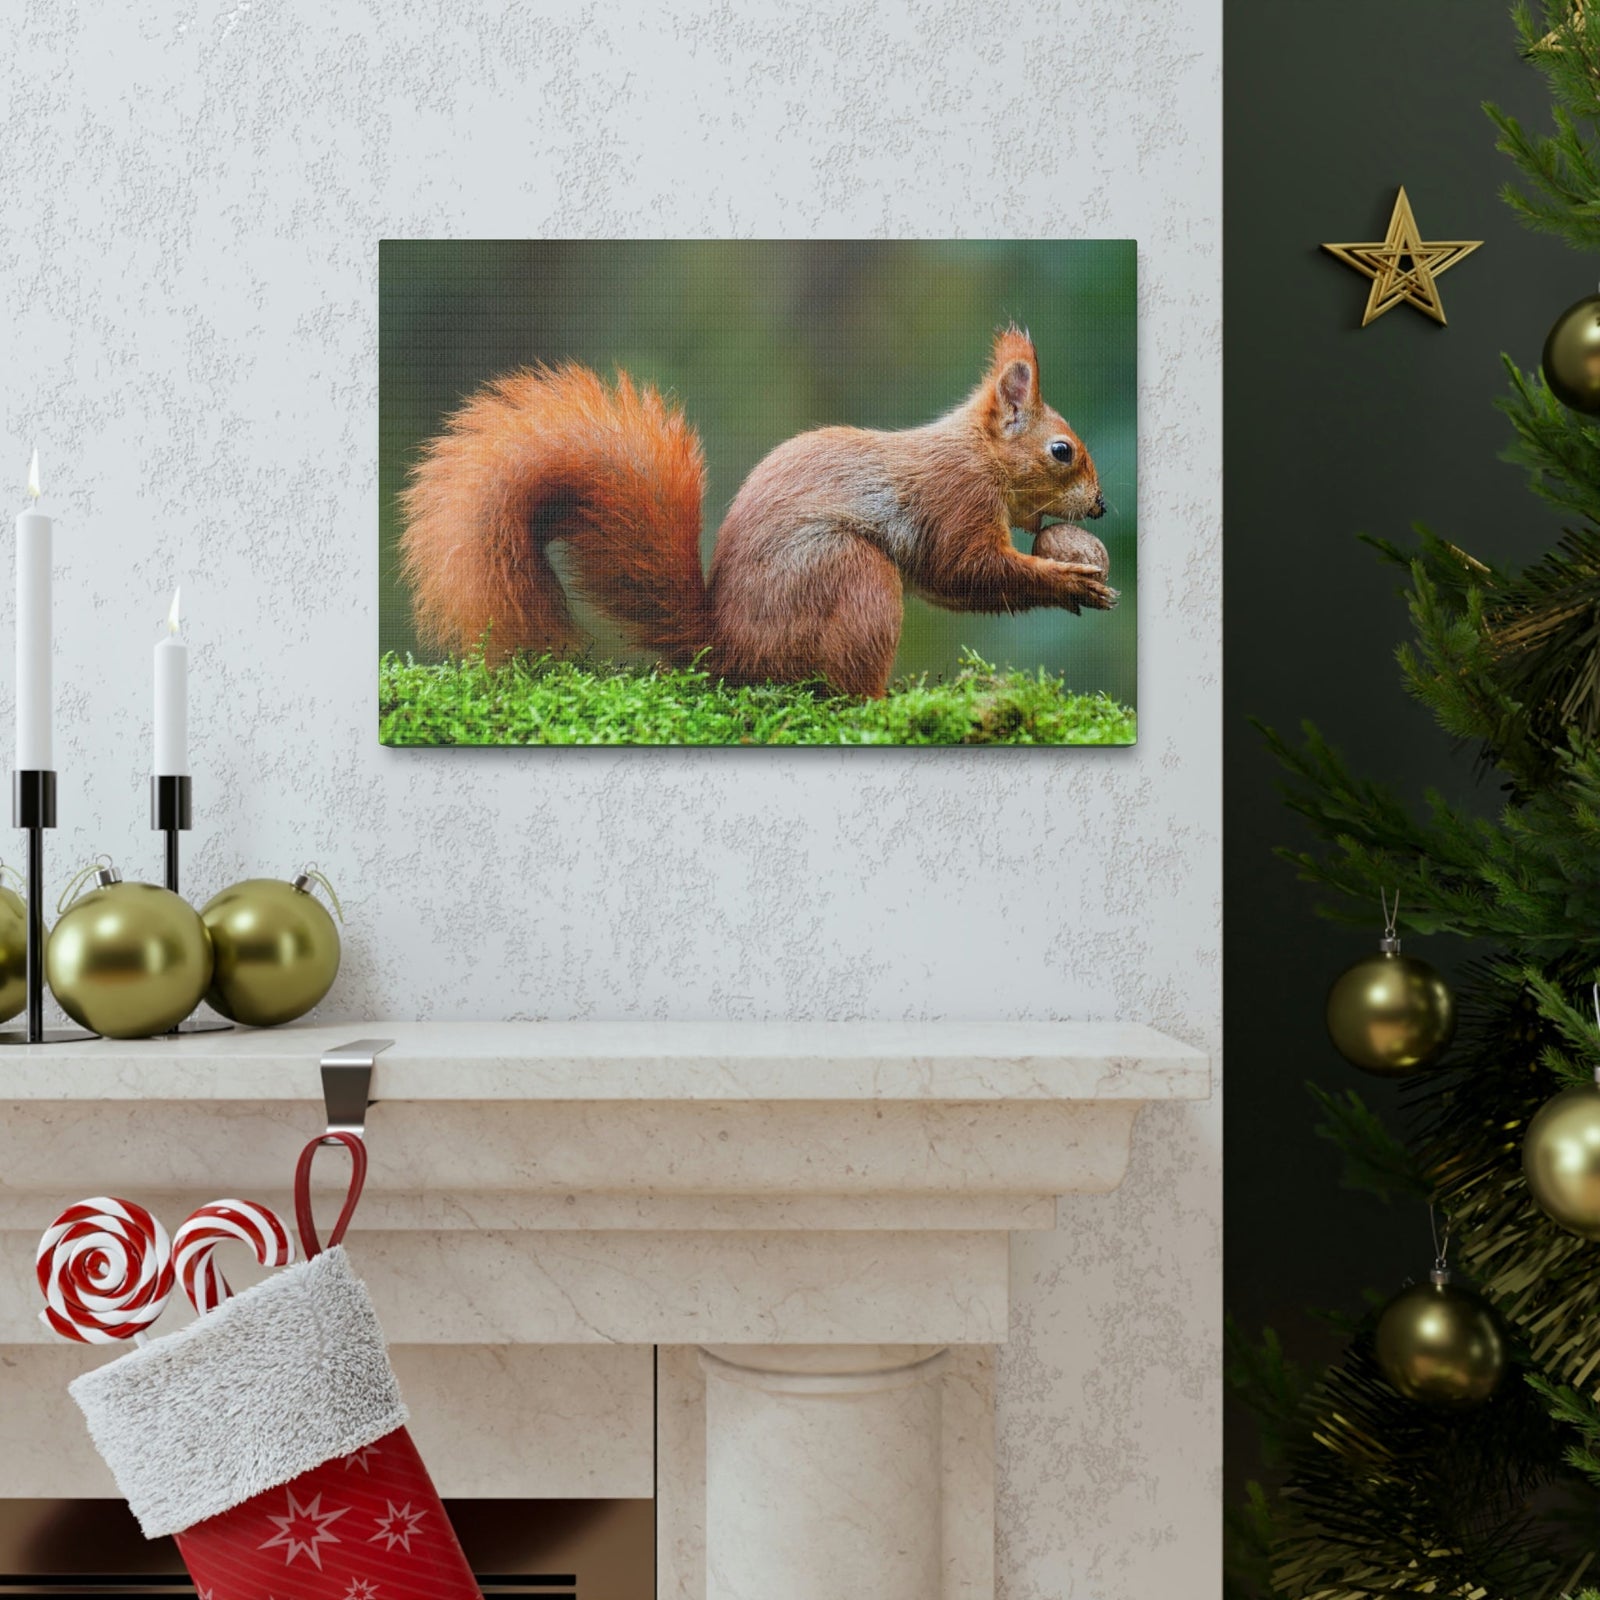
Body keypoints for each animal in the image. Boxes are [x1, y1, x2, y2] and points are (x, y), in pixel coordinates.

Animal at [398, 327, 1117, 699]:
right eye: (1061, 451)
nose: (1104, 505)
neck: (978, 455)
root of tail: (727, 648)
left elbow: (956, 584)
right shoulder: (954, 501)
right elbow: (966, 569)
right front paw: (1068, 580)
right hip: (849, 577)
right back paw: (879, 703)